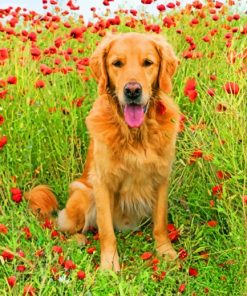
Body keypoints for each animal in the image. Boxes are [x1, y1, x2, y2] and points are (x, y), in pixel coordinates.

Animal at [25, 32, 179, 270]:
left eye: (148, 63)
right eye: (117, 63)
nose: (132, 90)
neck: (135, 134)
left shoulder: (161, 177)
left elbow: (161, 223)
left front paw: (165, 252)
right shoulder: (102, 182)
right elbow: (106, 231)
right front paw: (109, 265)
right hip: (83, 194)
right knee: (63, 229)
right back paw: (77, 240)